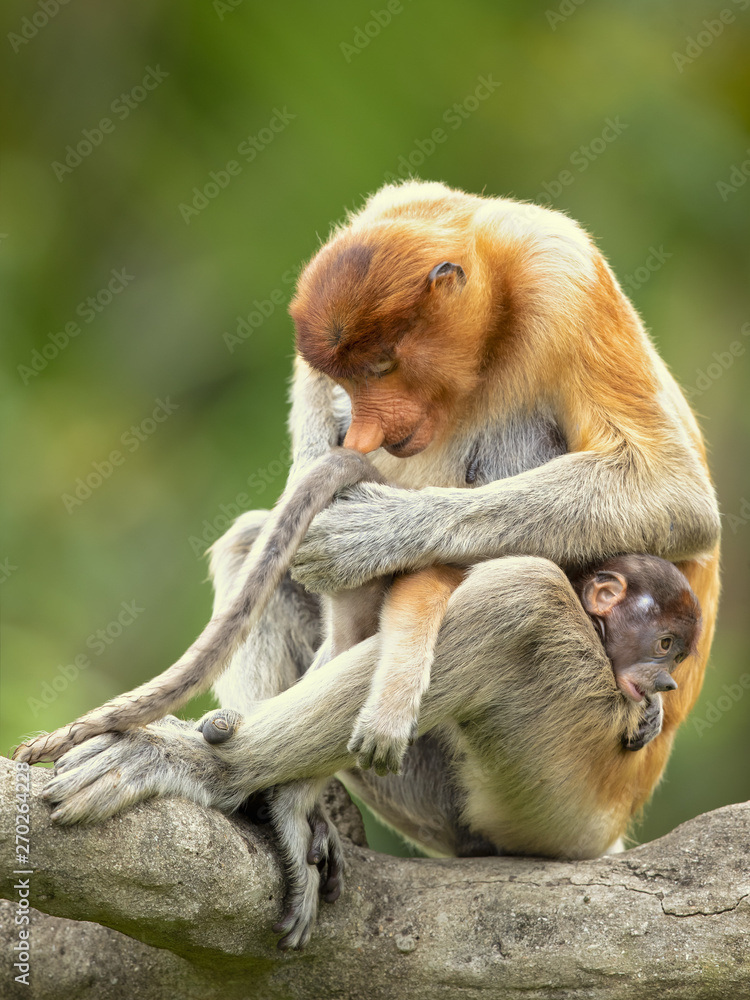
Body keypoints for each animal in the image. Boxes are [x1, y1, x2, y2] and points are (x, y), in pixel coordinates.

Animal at [28, 181, 721, 952]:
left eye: (382, 366)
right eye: (346, 376)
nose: (363, 430)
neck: (496, 301)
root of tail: (611, 830)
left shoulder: (563, 278)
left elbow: (675, 494)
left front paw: (367, 532)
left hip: (566, 793)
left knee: (519, 604)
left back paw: (215, 770)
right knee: (257, 544)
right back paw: (287, 802)